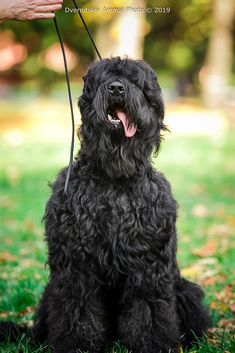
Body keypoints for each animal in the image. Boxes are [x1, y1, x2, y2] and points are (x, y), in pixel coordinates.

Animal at [0, 56, 210, 350]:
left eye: (135, 80)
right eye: (104, 79)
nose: (117, 88)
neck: (115, 180)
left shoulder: (148, 265)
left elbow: (148, 309)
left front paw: (152, 344)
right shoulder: (76, 264)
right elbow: (78, 307)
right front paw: (78, 344)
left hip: (185, 290)